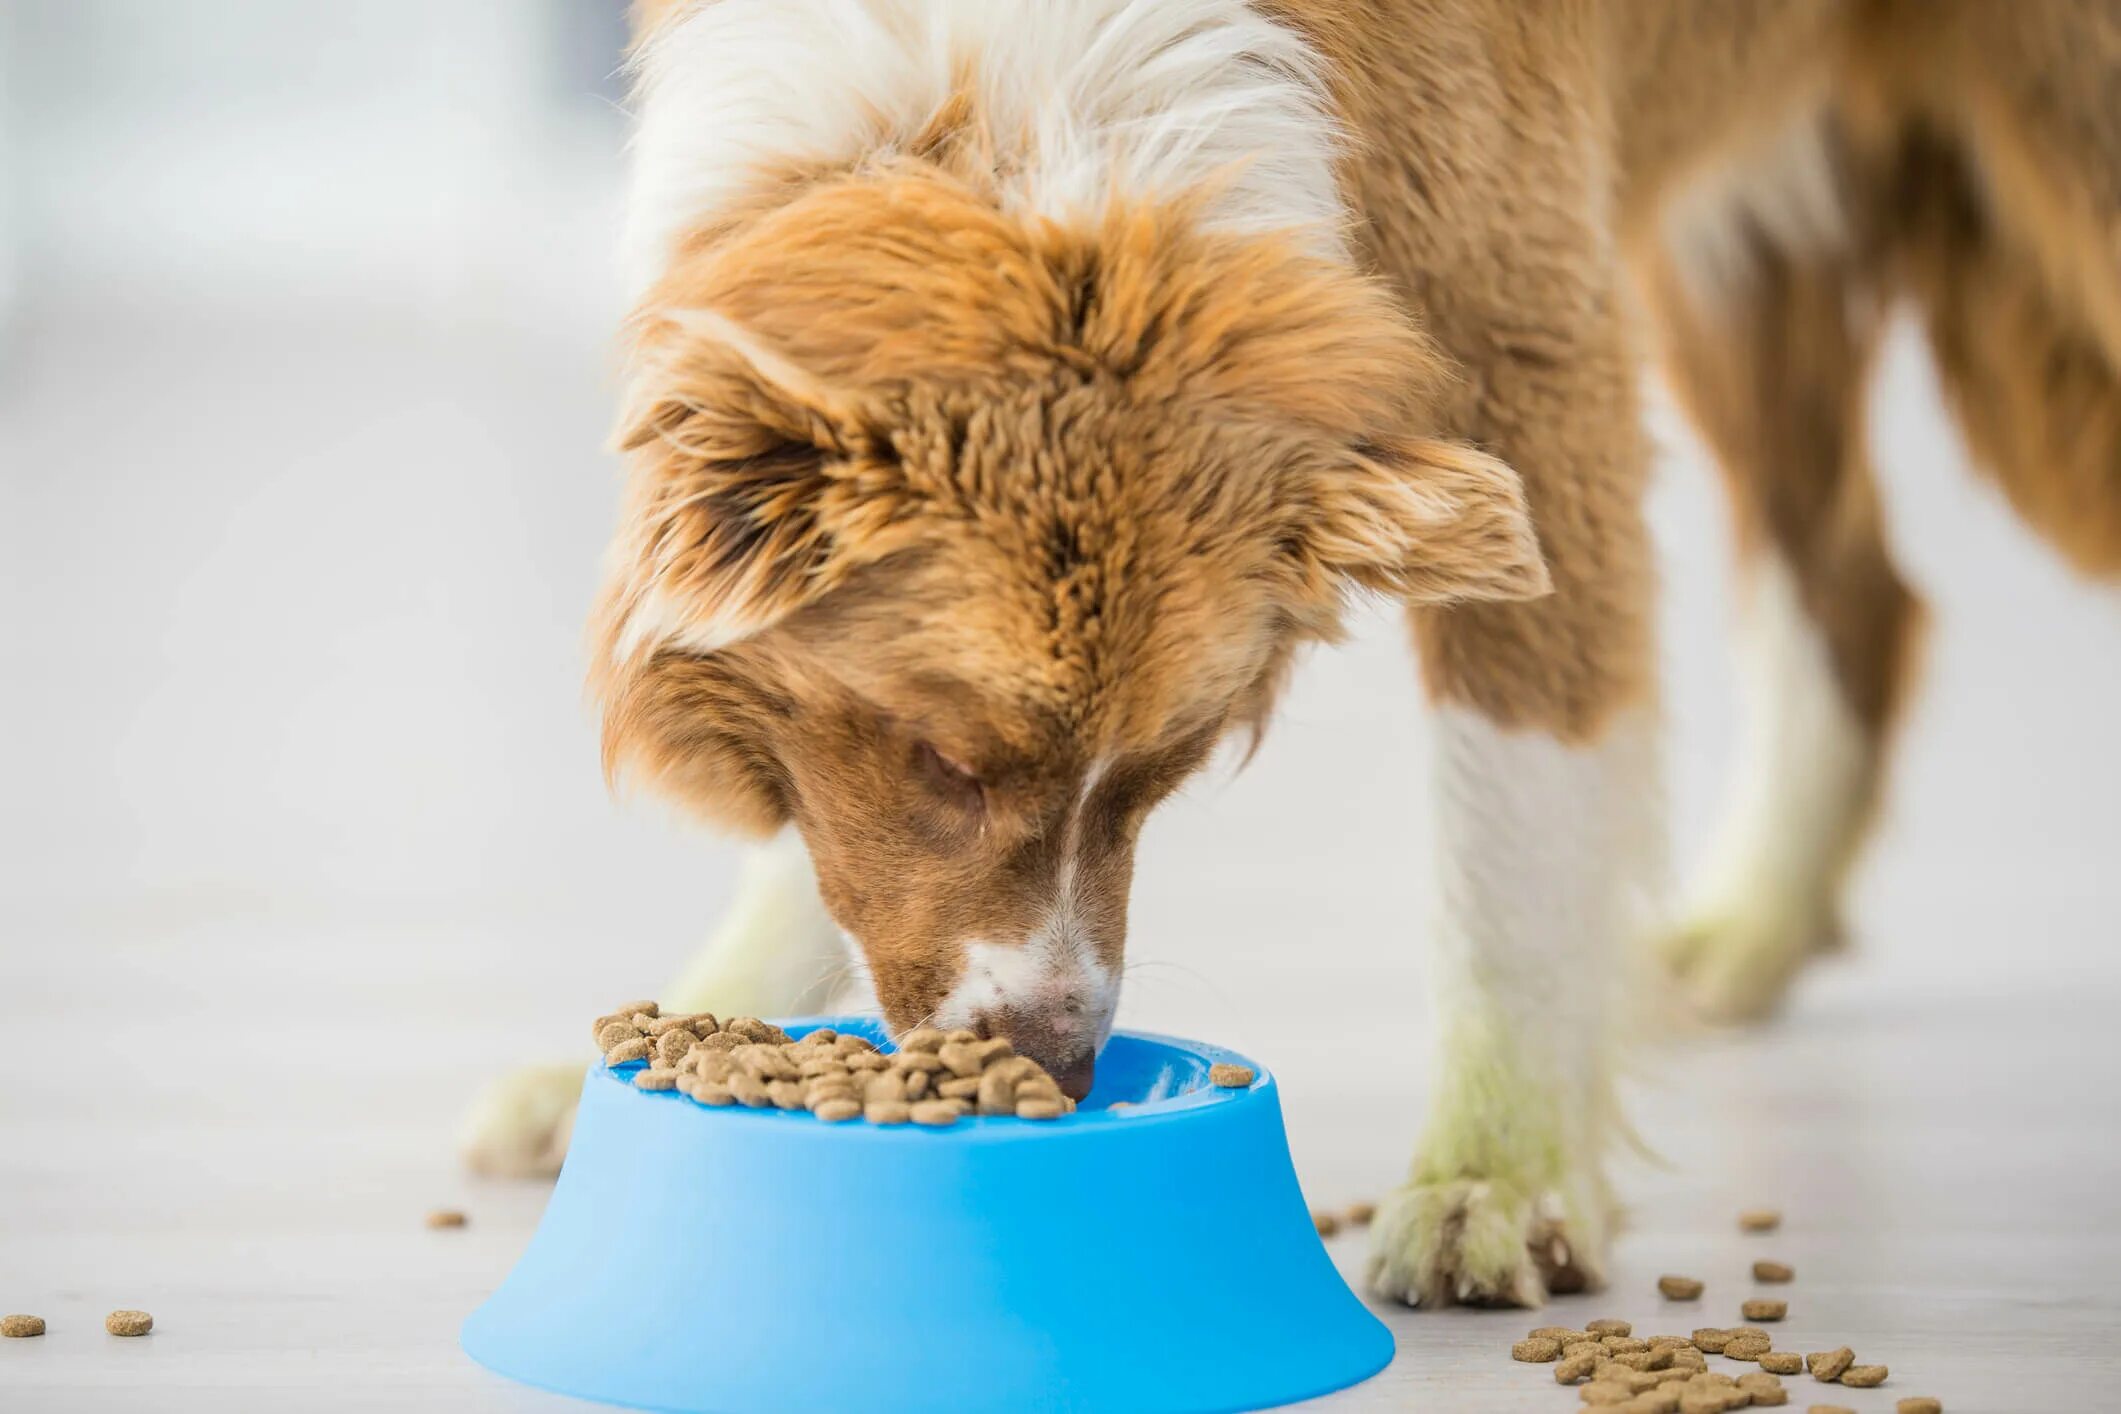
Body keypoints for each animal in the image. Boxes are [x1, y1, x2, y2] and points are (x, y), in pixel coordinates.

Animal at [464, 0, 2121, 1314]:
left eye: (1165, 768)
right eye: (943, 756)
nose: (1060, 1074)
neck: (1028, 90)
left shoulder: (1529, 351)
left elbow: (1517, 808)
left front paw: (1499, 1172)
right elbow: (831, 851)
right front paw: (702, 1017)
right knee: (1852, 588)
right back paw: (1756, 919)